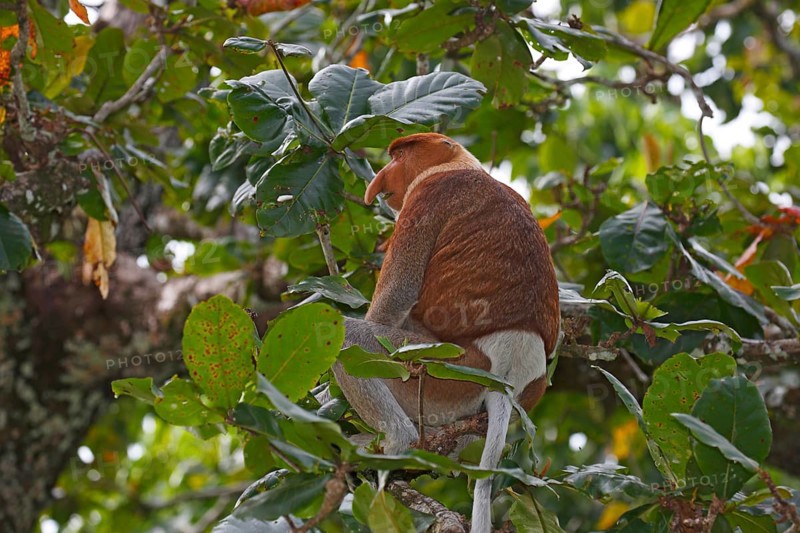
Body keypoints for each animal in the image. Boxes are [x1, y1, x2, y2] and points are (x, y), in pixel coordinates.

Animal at [332, 132, 560, 532]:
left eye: (399, 155)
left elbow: (395, 299)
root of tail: (509, 374)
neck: (460, 166)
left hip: (439, 368)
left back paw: (396, 442)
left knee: (352, 339)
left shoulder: (426, 198)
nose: (380, 179)